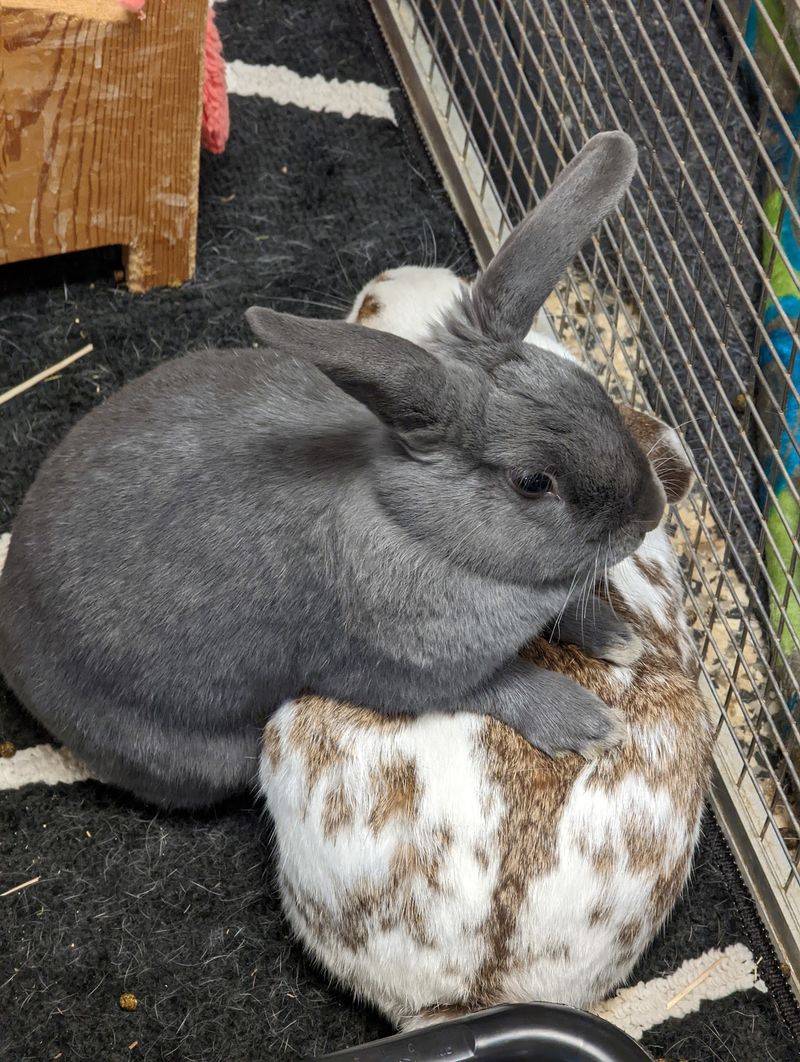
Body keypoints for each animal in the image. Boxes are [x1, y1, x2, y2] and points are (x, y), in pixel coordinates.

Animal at [0, 132, 663, 809]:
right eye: (532, 482)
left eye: (592, 390)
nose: (651, 514)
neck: (416, 524)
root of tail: (13, 635)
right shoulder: (400, 674)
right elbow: (503, 682)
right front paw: (589, 725)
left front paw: (619, 636)